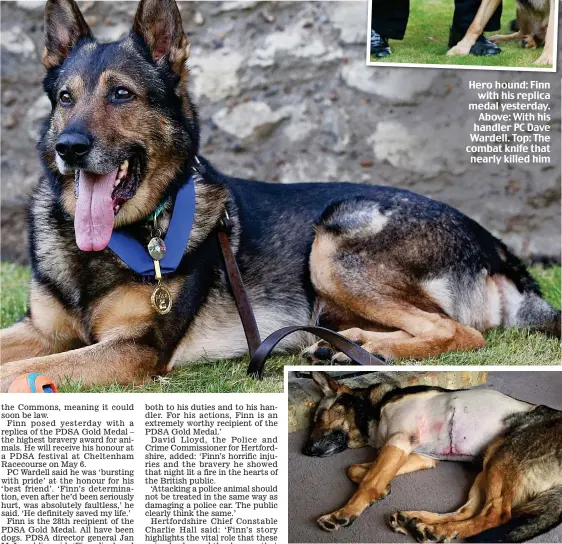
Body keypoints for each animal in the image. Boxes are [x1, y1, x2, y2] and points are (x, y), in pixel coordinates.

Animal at [0, 0, 556, 392]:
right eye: (65, 98)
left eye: (121, 95)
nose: (70, 148)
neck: (116, 240)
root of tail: (493, 243)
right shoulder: (41, 330)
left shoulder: (137, 347)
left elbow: (23, 372)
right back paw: (349, 347)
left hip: (334, 244)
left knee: (462, 333)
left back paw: (366, 348)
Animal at [304, 372, 560, 540]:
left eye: (320, 417)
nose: (306, 451)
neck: (373, 408)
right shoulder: (420, 456)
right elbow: (358, 469)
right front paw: (384, 489)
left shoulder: (399, 441)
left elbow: (369, 481)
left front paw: (344, 512)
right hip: (488, 463)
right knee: (468, 511)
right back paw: (416, 523)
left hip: (502, 458)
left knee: (495, 514)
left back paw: (435, 530)